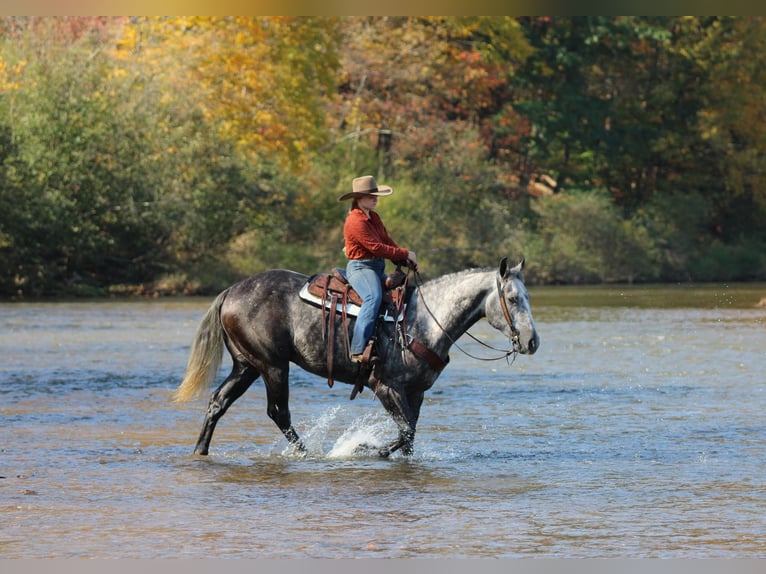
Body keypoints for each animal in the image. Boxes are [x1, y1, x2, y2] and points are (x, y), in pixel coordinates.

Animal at [173, 257, 539, 457]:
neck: (423, 320)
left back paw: (200, 450)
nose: (532, 341)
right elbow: (405, 432)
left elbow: (410, 436)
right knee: (278, 412)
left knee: (218, 402)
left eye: (528, 296)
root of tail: (230, 291)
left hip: (246, 365)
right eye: (512, 298)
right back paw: (310, 455)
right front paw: (364, 449)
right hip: (272, 366)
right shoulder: (386, 386)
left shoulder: (416, 392)